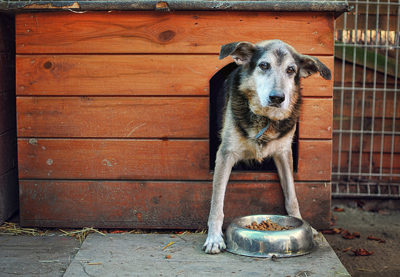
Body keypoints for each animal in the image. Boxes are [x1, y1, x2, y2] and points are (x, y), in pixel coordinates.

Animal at [203, 38, 332, 252]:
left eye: (291, 70)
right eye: (264, 65)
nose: (277, 98)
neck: (266, 119)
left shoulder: (284, 153)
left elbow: (292, 196)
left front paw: (304, 225)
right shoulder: (225, 154)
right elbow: (217, 203)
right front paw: (214, 237)